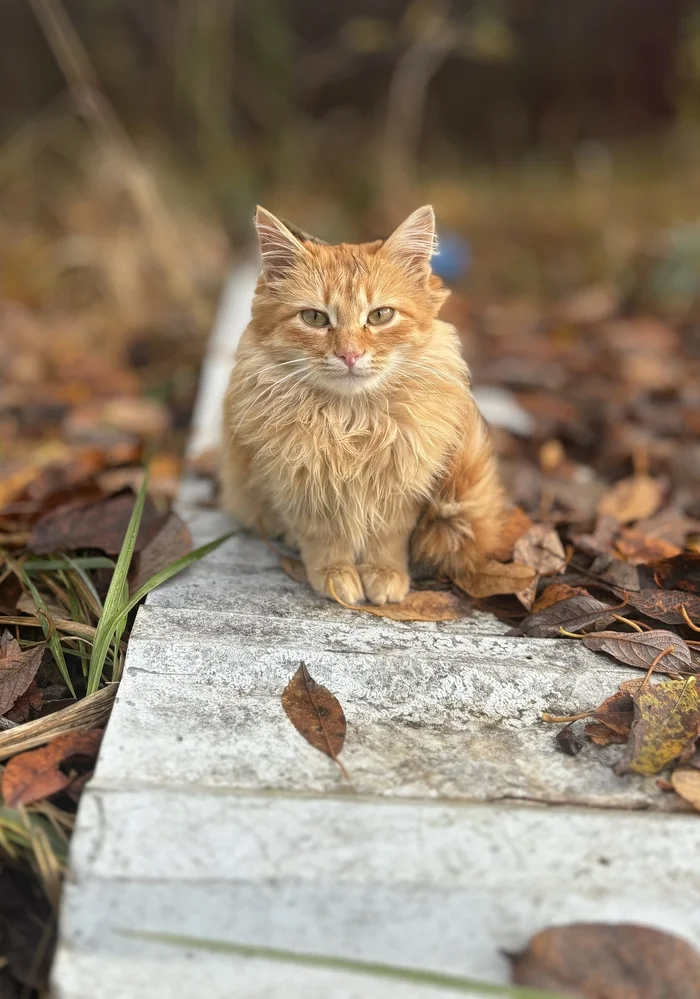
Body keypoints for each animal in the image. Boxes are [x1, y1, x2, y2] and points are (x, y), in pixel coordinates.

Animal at [221, 207, 500, 604]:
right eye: (314, 318)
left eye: (380, 316)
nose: (349, 355)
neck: (351, 421)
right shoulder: (299, 488)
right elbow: (324, 539)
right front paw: (336, 576)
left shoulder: (402, 489)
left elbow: (386, 540)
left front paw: (384, 575)